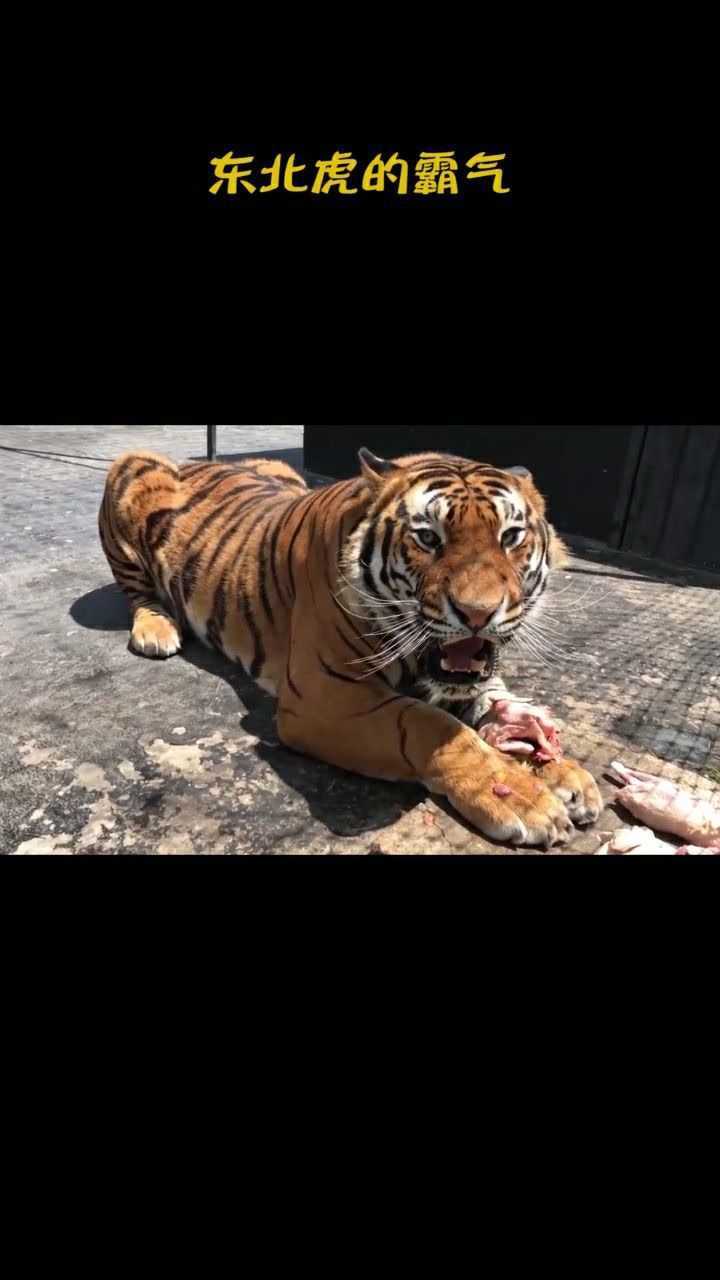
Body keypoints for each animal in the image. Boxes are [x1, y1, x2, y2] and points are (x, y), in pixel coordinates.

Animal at [98, 445, 601, 848]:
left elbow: (497, 704)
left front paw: (565, 774)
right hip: (130, 470)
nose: (477, 613)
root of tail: (202, 461)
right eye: (428, 537)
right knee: (137, 592)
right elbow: (432, 725)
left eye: (511, 536)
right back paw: (157, 629)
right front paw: (522, 798)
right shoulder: (324, 696)